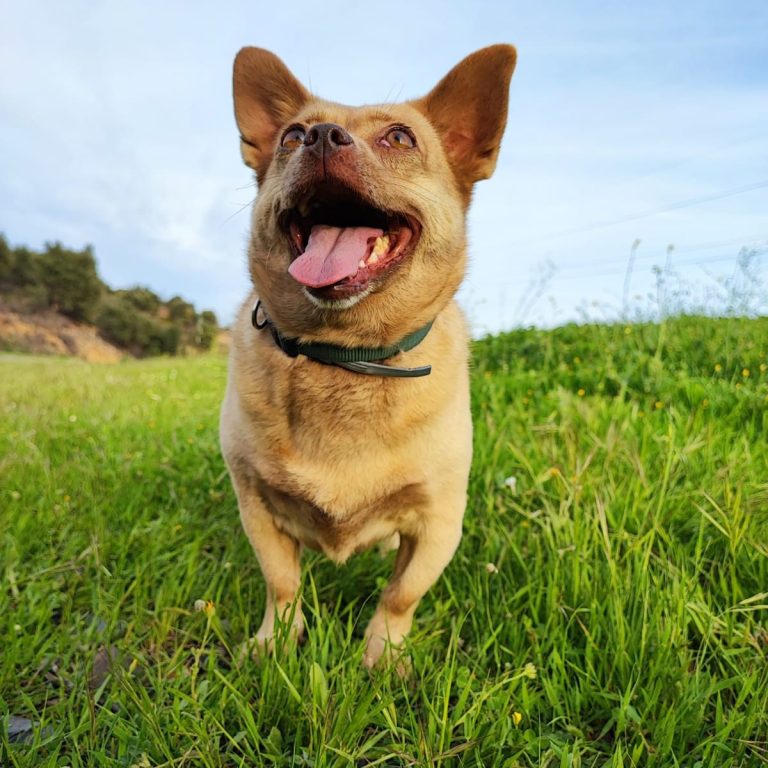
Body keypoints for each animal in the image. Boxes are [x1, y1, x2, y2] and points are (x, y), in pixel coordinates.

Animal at [220, 45, 516, 664]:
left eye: (400, 138)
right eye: (290, 137)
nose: (320, 137)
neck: (344, 352)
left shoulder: (437, 523)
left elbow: (401, 594)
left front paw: (384, 654)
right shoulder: (257, 508)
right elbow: (281, 582)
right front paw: (275, 643)